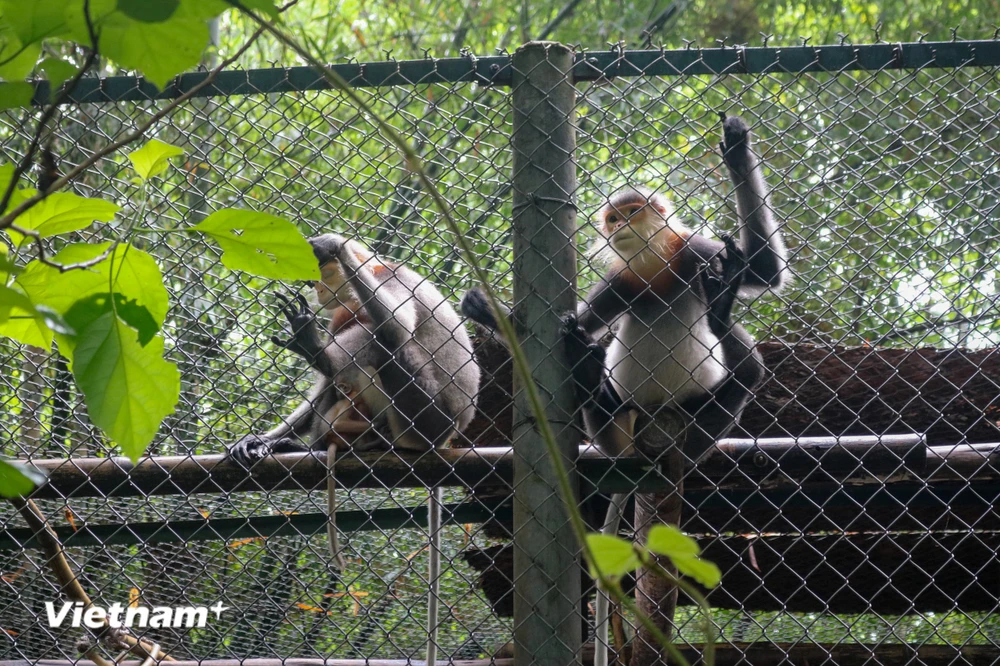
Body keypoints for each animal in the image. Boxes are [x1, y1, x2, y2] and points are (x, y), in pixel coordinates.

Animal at [232, 232, 482, 572]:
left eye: (322, 273)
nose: (318, 289)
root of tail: (451, 433)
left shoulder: (393, 278)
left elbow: (397, 327)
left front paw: (333, 245)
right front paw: (264, 440)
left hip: (424, 418)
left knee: (385, 340)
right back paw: (314, 444)